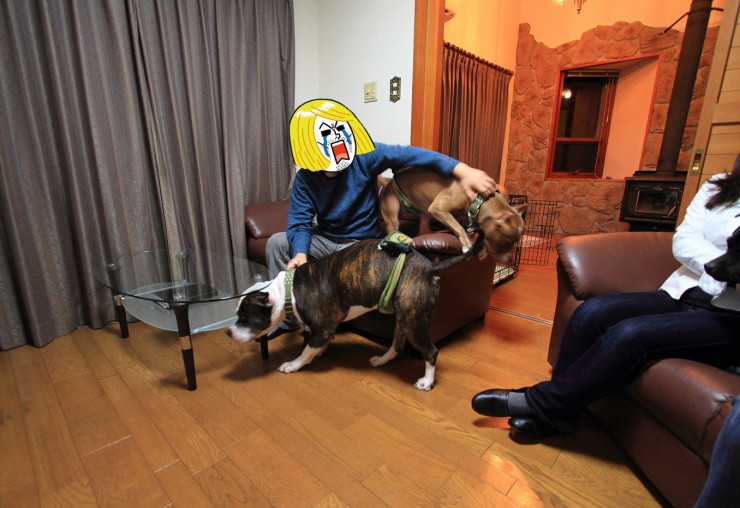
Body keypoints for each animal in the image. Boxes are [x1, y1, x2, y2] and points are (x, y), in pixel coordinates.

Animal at [226, 232, 484, 390]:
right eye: (237, 316)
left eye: (244, 318)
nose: (228, 332)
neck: (289, 290)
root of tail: (430, 266)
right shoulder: (324, 329)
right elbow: (315, 346)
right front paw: (319, 352)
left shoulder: (322, 327)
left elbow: (306, 351)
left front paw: (293, 364)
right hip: (402, 317)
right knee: (397, 344)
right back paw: (382, 359)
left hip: (412, 319)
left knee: (430, 351)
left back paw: (426, 381)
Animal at [379, 166, 525, 262]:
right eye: (507, 241)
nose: (509, 261)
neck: (479, 200)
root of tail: (388, 184)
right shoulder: (438, 208)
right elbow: (459, 228)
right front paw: (466, 244)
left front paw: (482, 250)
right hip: (393, 217)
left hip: (425, 212)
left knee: (423, 230)